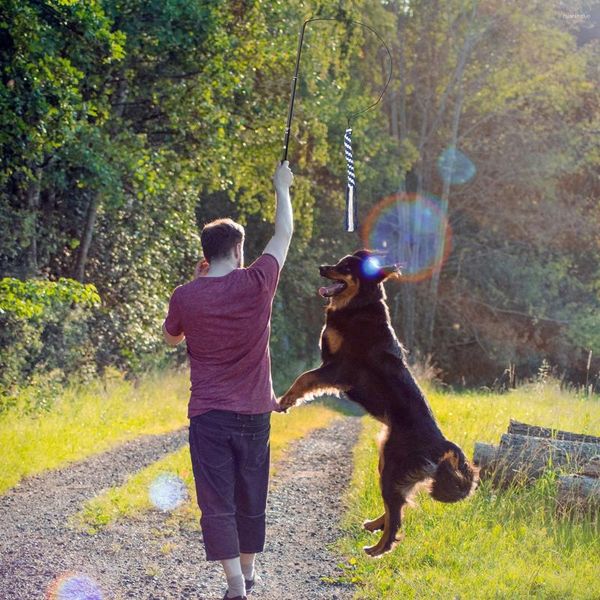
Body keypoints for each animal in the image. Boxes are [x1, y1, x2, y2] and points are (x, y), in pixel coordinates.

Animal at [278, 250, 478, 556]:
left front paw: (285, 400)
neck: (358, 305)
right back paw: (375, 525)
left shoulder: (340, 368)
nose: (322, 267)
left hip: (392, 466)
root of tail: (442, 444)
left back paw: (377, 548)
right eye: (338, 262)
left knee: (396, 517)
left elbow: (304, 378)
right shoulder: (333, 368)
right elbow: (305, 377)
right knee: (399, 506)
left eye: (346, 267)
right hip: (387, 463)